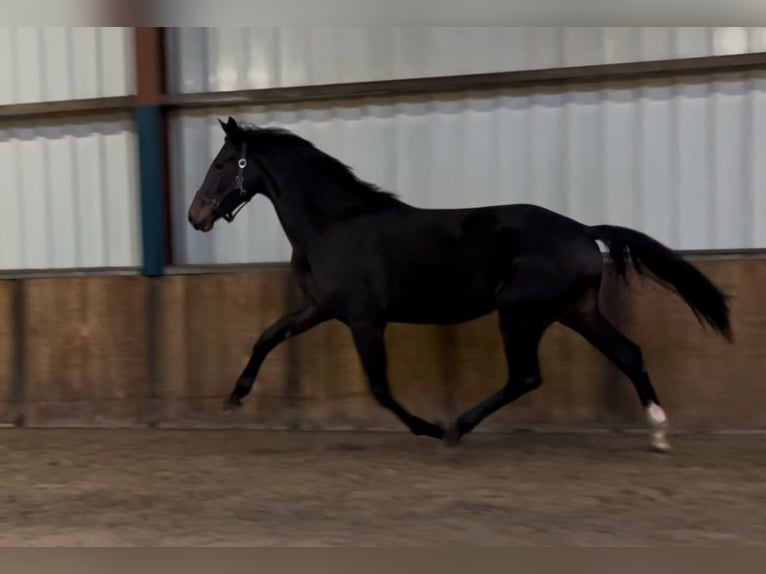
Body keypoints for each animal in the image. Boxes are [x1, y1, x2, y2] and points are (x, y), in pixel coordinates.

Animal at [189, 117, 736, 454]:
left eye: (220, 165)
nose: (196, 216)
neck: (334, 225)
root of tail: (584, 231)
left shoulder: (365, 320)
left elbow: (380, 388)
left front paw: (429, 429)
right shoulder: (319, 308)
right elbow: (266, 337)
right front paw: (233, 398)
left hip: (520, 313)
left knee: (526, 377)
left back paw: (456, 429)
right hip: (575, 312)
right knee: (628, 354)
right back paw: (659, 435)